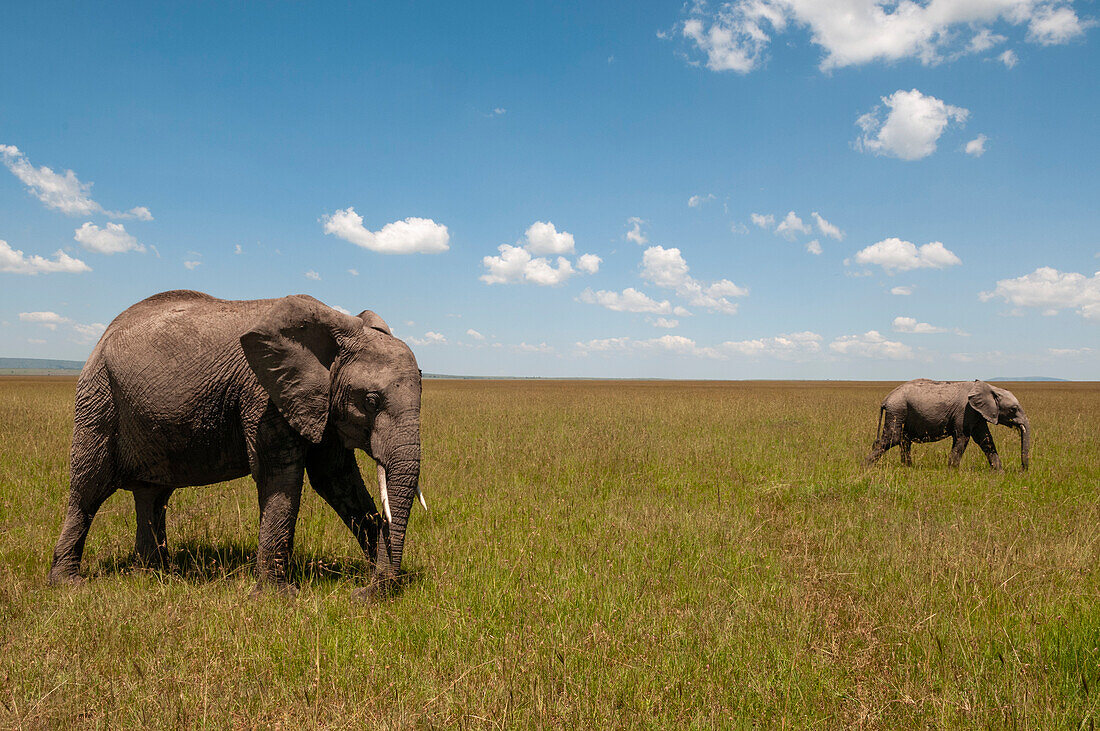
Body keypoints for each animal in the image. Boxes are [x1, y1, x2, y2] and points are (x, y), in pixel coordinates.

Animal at [48, 288, 424, 597]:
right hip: (99, 397)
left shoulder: (319, 401)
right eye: (371, 401)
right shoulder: (264, 394)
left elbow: (336, 478)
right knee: (89, 489)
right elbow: (280, 476)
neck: (337, 328)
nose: (362, 593)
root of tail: (102, 337)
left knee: (152, 495)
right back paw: (69, 584)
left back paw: (155, 574)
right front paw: (277, 598)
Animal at [866, 378, 1029, 470]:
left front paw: (999, 472)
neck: (989, 387)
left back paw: (908, 467)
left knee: (904, 440)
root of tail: (886, 398)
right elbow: (962, 438)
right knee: (893, 438)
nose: (1022, 470)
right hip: (898, 410)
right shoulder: (966, 411)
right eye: (1013, 409)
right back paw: (865, 466)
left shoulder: (978, 413)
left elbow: (985, 439)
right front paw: (952, 472)